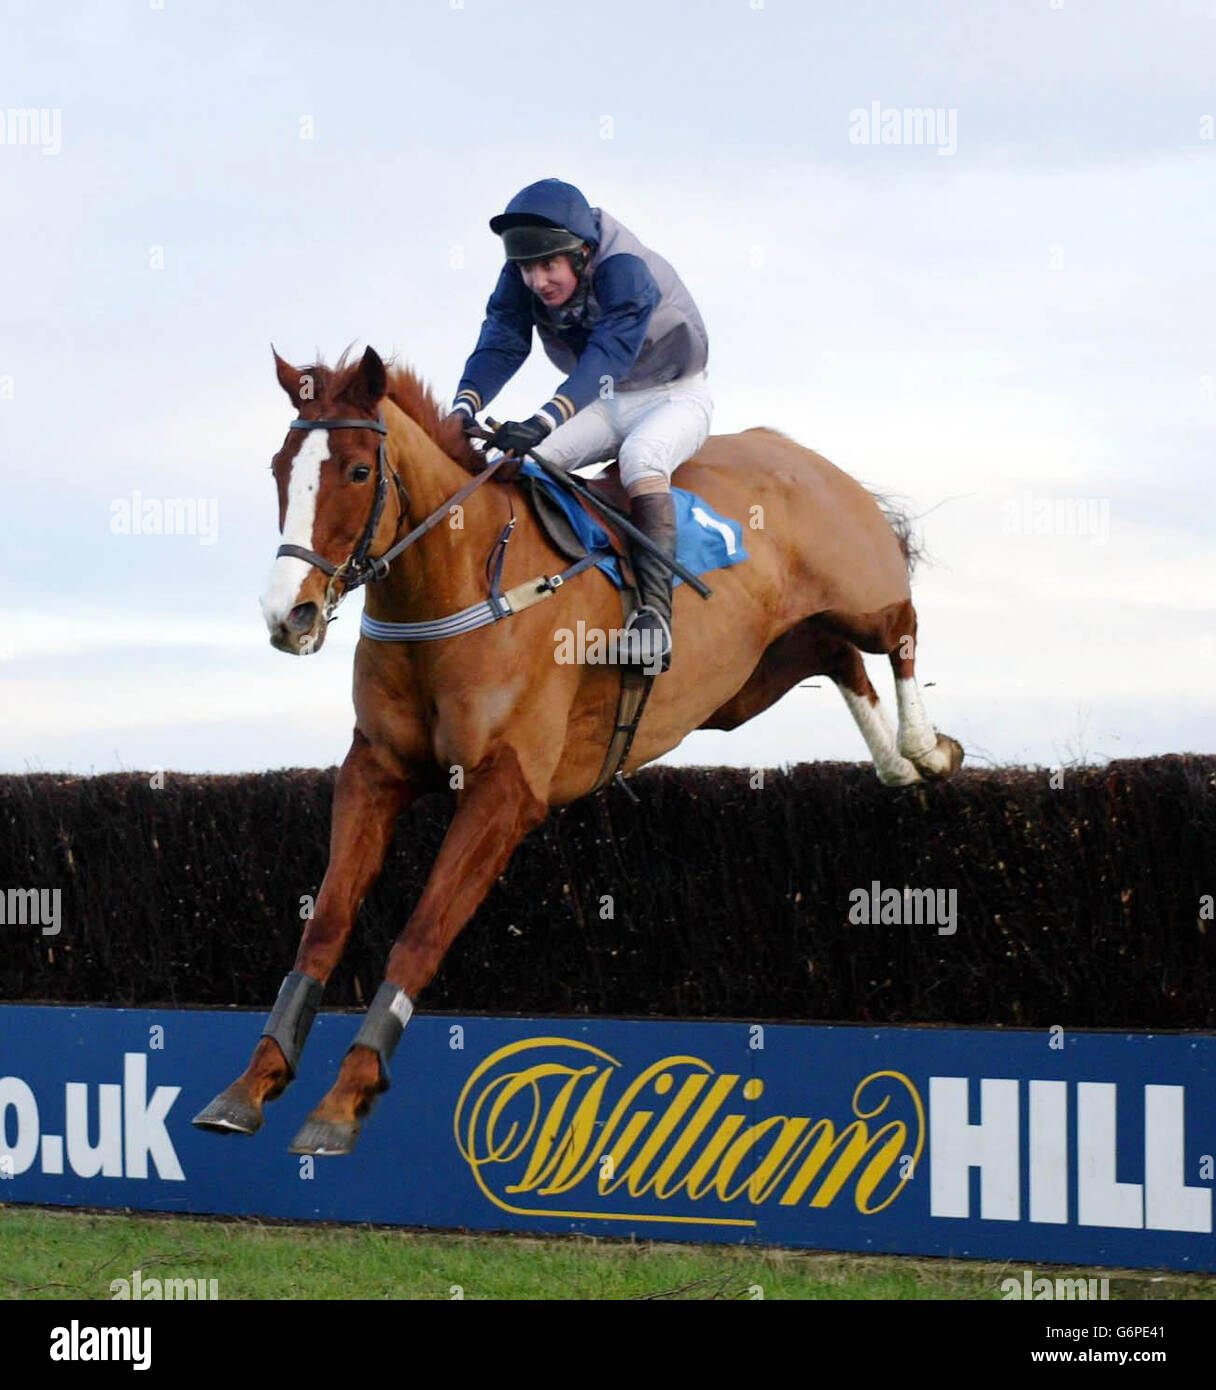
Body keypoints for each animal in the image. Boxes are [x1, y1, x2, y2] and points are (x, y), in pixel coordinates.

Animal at [194, 344, 967, 1150]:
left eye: (354, 470)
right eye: (280, 468)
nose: (288, 615)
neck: (457, 585)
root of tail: (794, 450)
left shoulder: (508, 791)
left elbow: (420, 935)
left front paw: (345, 1097)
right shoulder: (374, 771)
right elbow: (324, 926)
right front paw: (252, 1083)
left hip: (856, 593)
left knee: (898, 627)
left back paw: (926, 749)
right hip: (756, 673)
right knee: (838, 657)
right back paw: (897, 763)